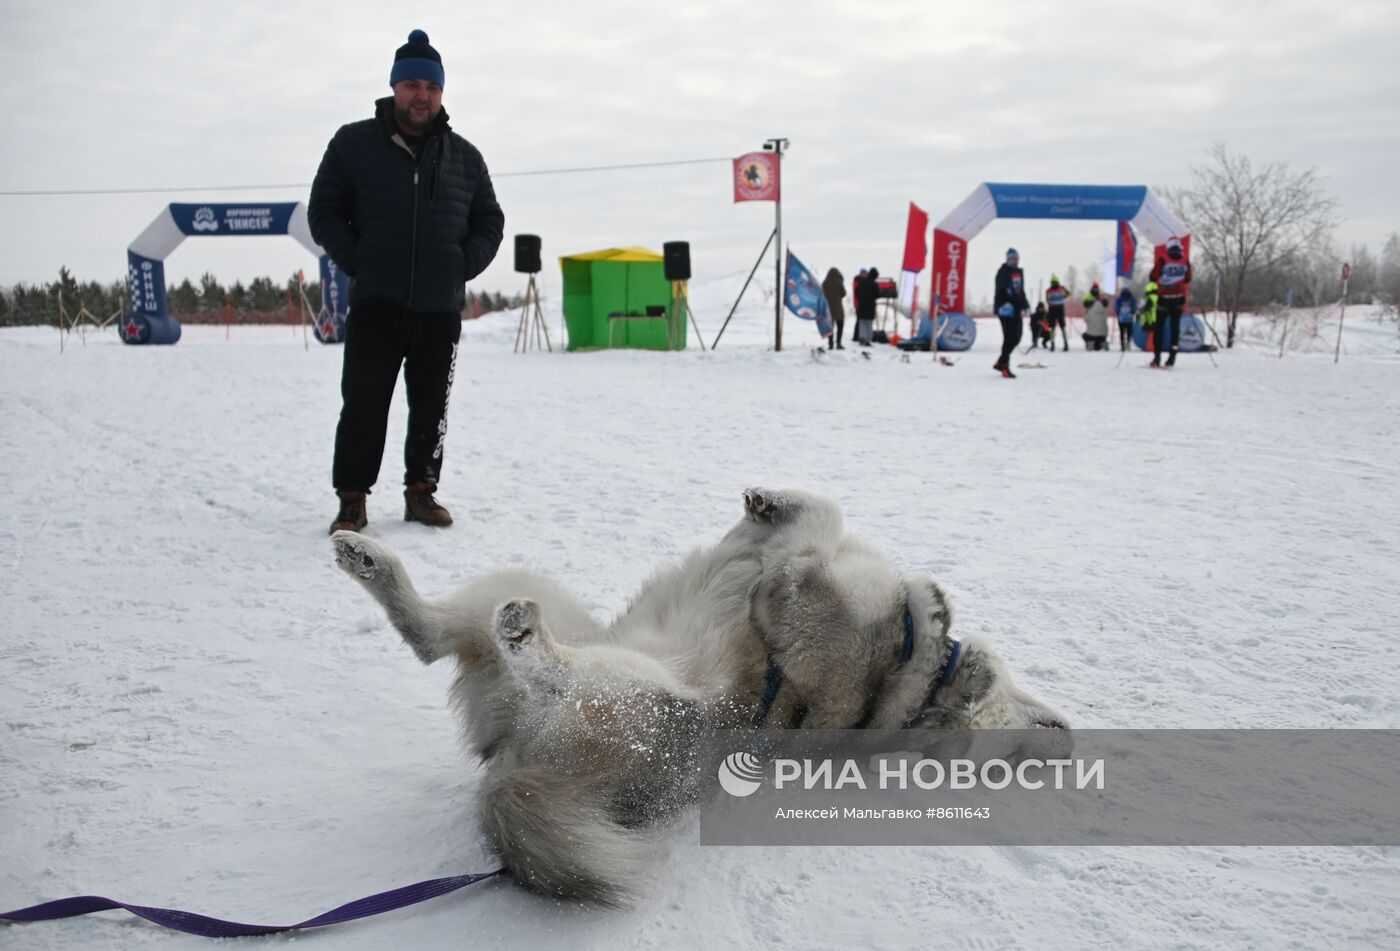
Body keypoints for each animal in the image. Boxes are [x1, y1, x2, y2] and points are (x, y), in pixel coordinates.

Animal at [330, 490, 1069, 907]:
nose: (1061, 733)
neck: (925, 681)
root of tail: (513, 758)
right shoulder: (781, 562)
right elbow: (805, 519)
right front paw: (767, 500)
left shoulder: (788, 591)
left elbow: (821, 523)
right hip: (536, 594)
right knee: (427, 633)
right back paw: (366, 558)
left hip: (621, 681)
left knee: (534, 662)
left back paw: (522, 636)